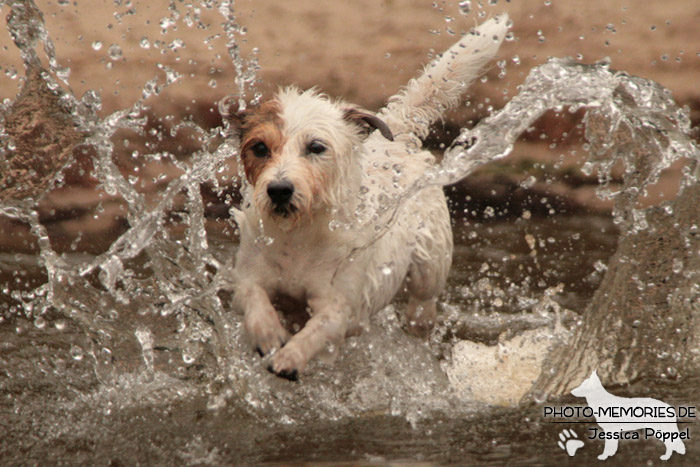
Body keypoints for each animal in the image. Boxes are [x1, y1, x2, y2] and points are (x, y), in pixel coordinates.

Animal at [228, 15, 508, 380]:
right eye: (260, 147)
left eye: (316, 147)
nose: (278, 190)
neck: (299, 236)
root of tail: (398, 135)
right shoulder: (249, 276)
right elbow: (253, 297)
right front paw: (270, 334)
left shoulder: (339, 306)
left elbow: (320, 329)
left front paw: (291, 356)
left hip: (428, 274)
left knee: (422, 309)